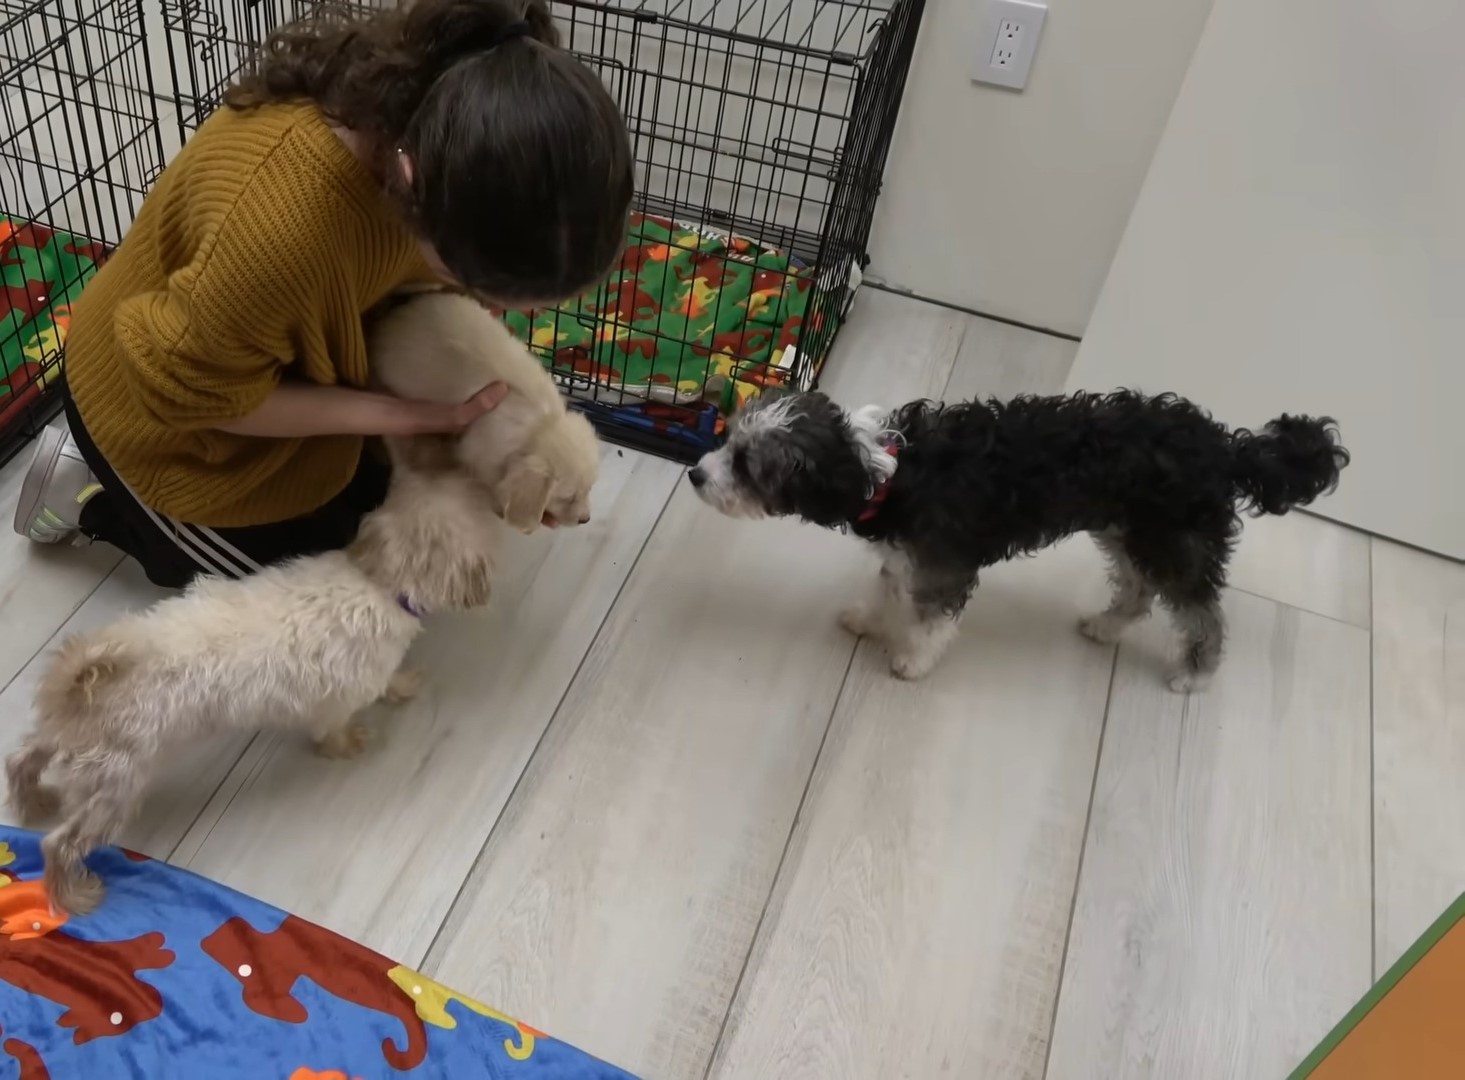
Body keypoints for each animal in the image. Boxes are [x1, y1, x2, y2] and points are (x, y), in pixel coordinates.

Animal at [685, 389, 1347, 691]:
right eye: (729, 437)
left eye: (748, 466)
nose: (694, 473)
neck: (889, 469)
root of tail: (1229, 447)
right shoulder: (904, 559)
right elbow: (885, 592)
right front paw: (867, 621)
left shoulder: (942, 567)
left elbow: (931, 621)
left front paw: (910, 660)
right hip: (1125, 533)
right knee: (1136, 594)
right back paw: (1104, 626)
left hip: (1174, 545)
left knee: (1204, 614)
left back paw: (1194, 676)